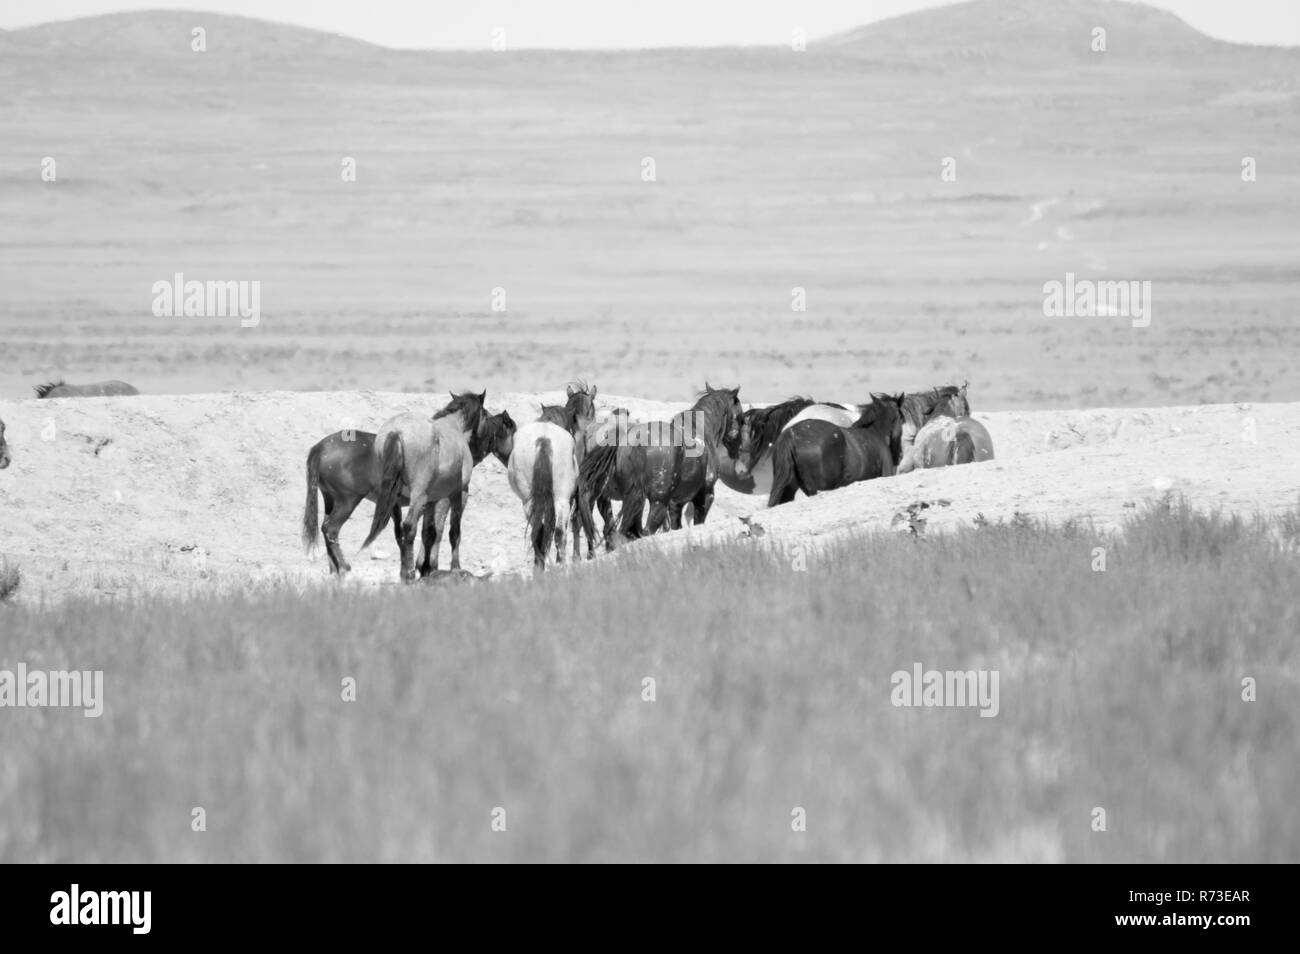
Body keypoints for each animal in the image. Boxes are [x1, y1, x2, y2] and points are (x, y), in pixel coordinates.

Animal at [302, 409, 515, 576]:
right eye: (513, 431)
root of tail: (320, 448)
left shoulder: (414, 503)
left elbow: (414, 533)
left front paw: (418, 567)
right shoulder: (446, 498)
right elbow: (441, 531)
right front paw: (430, 566)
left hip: (330, 500)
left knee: (326, 529)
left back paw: (335, 568)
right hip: (348, 501)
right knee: (330, 529)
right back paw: (344, 567)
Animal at [358, 391, 496, 582]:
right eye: (487, 416)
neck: (455, 427)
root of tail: (397, 431)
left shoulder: (432, 499)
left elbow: (429, 533)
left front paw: (426, 569)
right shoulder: (459, 493)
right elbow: (454, 532)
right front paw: (455, 567)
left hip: (394, 497)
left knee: (399, 531)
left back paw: (404, 572)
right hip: (418, 496)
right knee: (409, 527)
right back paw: (409, 574)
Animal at [507, 421, 589, 569]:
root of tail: (544, 439)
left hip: (528, 502)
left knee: (538, 533)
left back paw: (539, 568)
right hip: (562, 499)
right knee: (560, 533)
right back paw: (562, 566)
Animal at [580, 385, 742, 548]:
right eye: (741, 417)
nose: (737, 447)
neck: (700, 431)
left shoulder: (676, 504)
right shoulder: (705, 497)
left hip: (620, 498)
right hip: (657, 502)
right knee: (644, 529)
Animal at [767, 393, 906, 507]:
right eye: (902, 419)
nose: (899, 455)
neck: (875, 432)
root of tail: (791, 434)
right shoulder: (886, 474)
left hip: (789, 489)